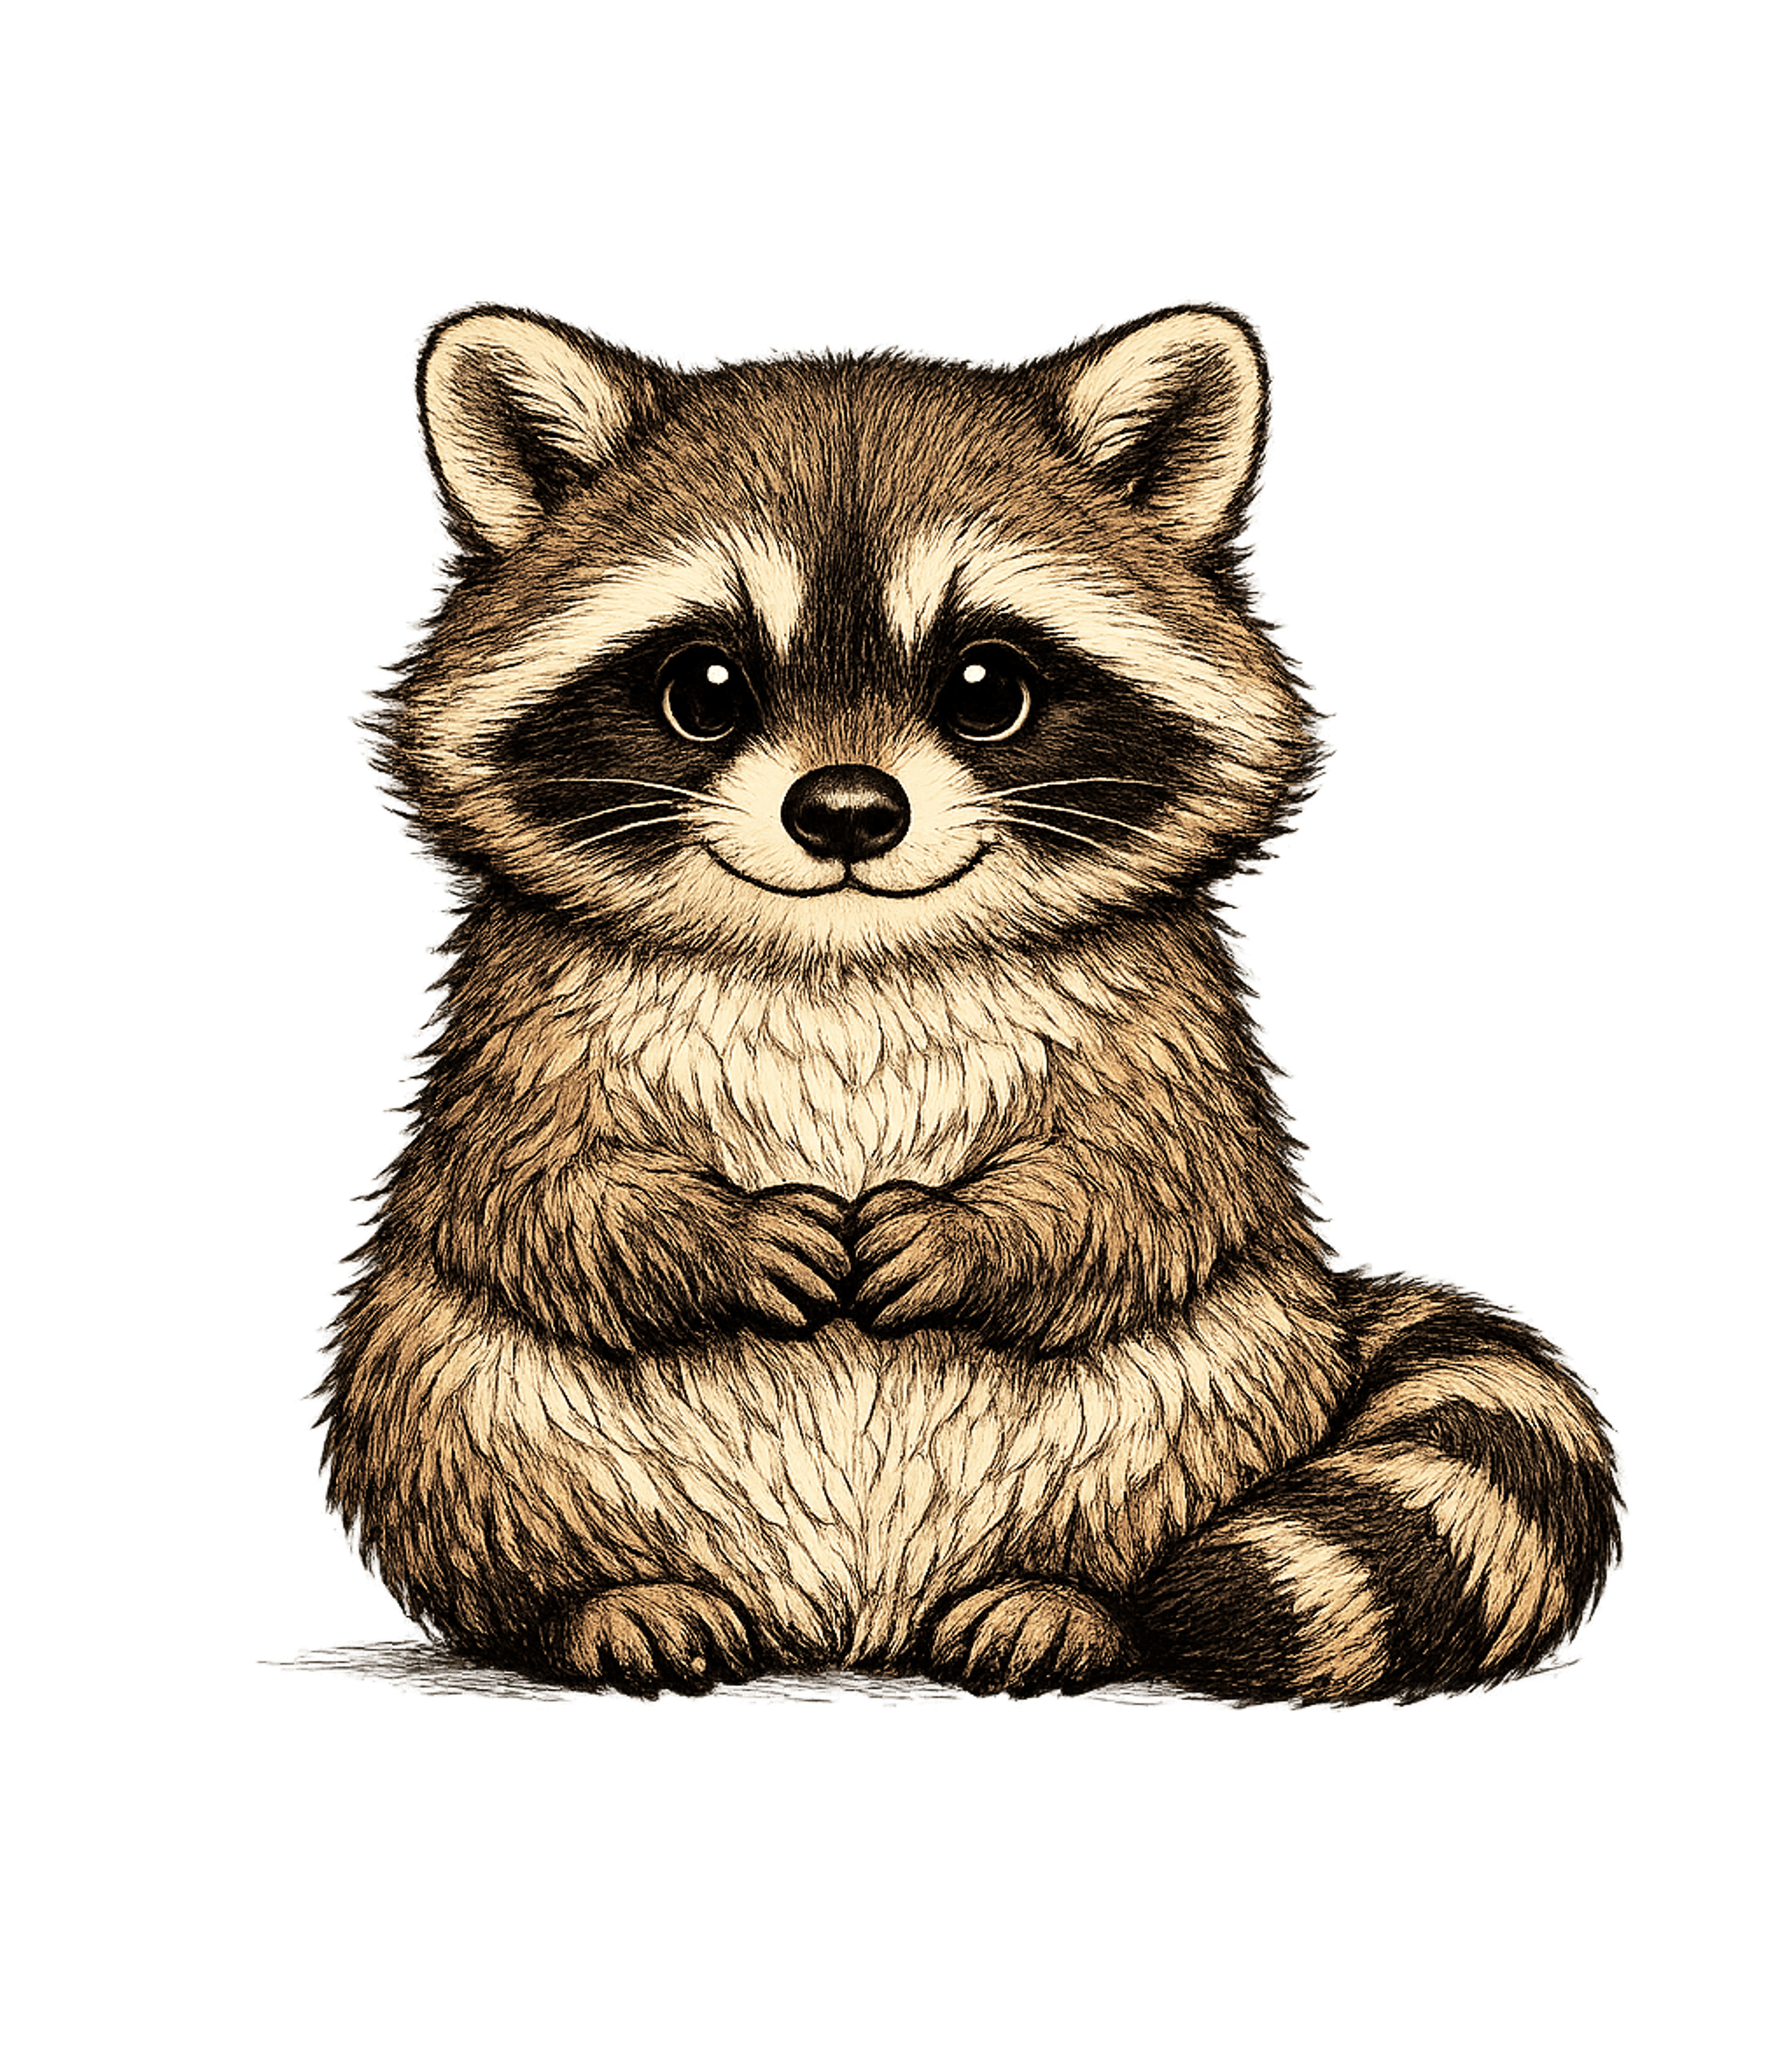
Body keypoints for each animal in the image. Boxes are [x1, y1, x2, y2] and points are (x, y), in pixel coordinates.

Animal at [315, 301, 1622, 1703]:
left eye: (987, 686)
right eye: (704, 687)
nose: (845, 810)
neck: (844, 955)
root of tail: (849, 1619)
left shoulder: (1167, 1019)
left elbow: (1145, 1182)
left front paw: (972, 1233)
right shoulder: (529, 1017)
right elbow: (532, 1188)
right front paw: (711, 1232)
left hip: (1226, 1382)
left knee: (1177, 1393)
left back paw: (1061, 1589)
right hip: (451, 1405)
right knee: (464, 1410)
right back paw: (599, 1593)